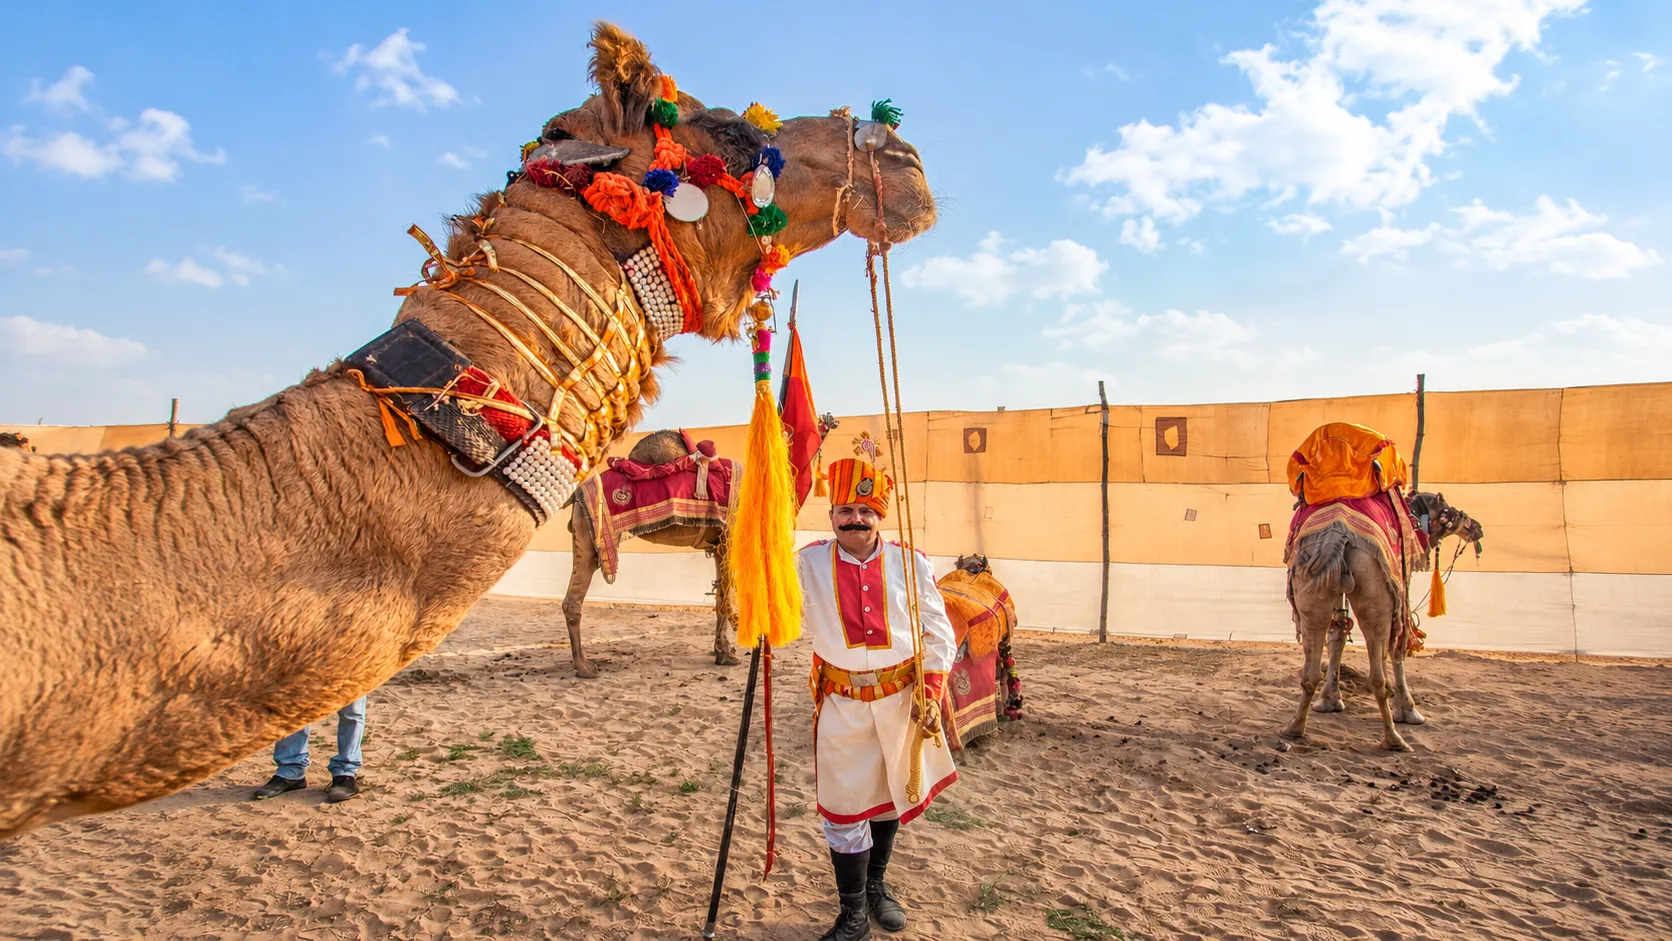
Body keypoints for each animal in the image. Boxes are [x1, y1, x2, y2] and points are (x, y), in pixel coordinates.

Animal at [562, 429, 737, 678]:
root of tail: (577, 493)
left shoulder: (719, 543)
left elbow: (721, 593)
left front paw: (722, 653)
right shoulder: (731, 533)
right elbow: (727, 593)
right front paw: (726, 653)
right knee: (576, 594)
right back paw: (585, 667)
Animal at [1284, 490, 1484, 751]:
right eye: (1450, 511)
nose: (1476, 527)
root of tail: (1337, 533)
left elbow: (1337, 637)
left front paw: (1329, 700)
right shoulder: (1401, 581)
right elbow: (1400, 647)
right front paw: (1409, 711)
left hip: (1311, 586)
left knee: (1311, 670)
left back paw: (1295, 727)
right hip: (1375, 584)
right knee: (1379, 673)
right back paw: (1394, 739)